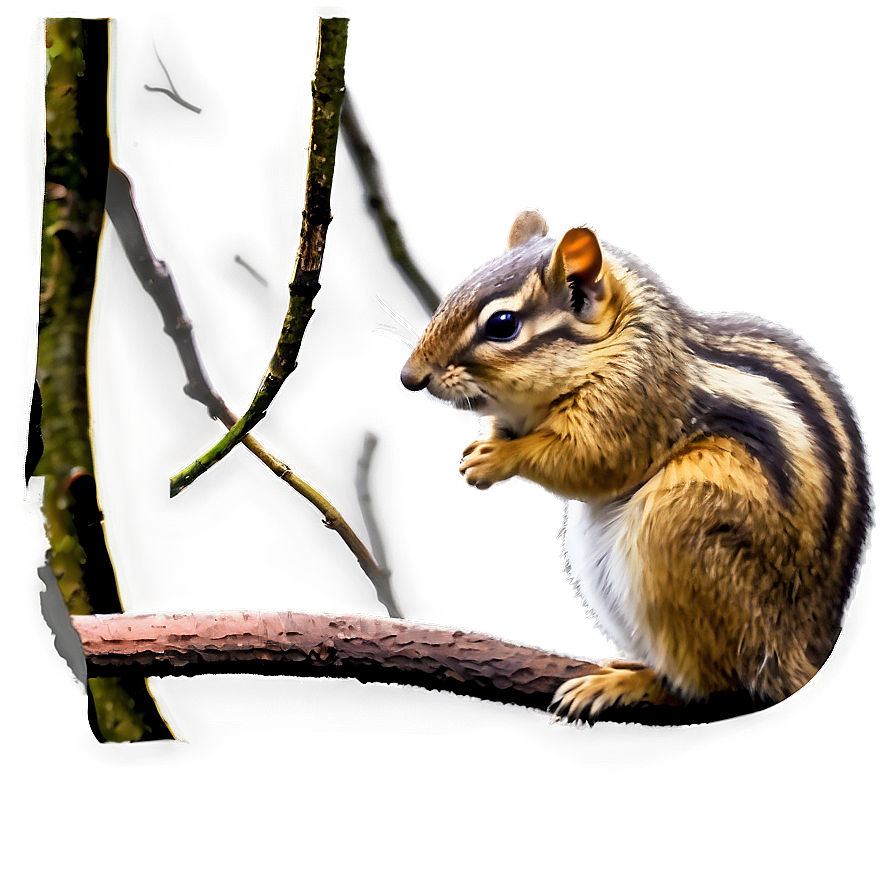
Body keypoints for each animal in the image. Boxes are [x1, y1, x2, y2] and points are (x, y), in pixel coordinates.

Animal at [398, 207, 873, 724]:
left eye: (502, 325)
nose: (409, 377)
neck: (618, 340)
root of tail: (800, 652)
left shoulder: (631, 403)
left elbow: (590, 462)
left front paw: (496, 459)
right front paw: (480, 447)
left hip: (679, 528)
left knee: (714, 686)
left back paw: (630, 684)